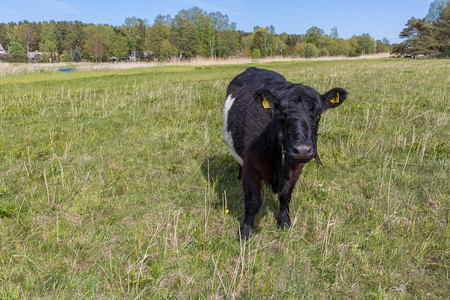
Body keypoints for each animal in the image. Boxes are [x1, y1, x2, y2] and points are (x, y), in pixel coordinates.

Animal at [224, 67, 348, 239]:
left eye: (318, 114)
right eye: (282, 113)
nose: (302, 149)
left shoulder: (295, 168)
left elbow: (285, 196)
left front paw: (284, 221)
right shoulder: (251, 166)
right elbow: (252, 202)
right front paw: (245, 231)